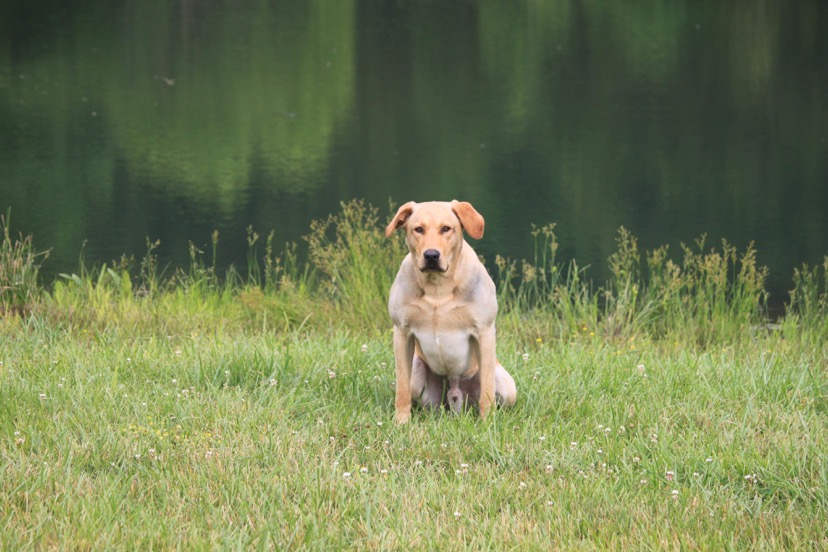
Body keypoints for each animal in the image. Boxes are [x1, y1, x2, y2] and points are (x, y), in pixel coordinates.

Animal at [384, 202, 516, 422]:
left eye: (446, 228)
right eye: (418, 229)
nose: (431, 255)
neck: (438, 287)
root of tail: (455, 393)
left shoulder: (484, 332)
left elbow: (487, 390)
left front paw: (488, 423)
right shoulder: (401, 332)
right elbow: (401, 387)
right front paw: (401, 422)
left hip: (507, 385)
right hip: (418, 373)